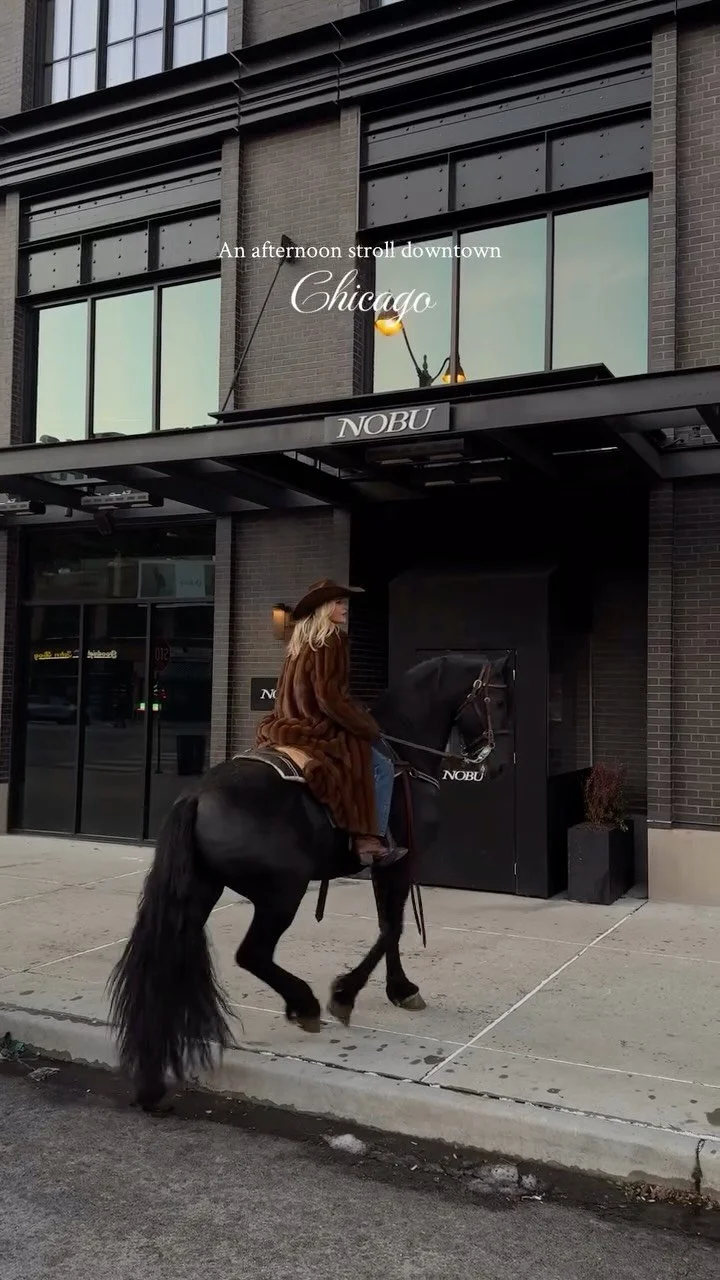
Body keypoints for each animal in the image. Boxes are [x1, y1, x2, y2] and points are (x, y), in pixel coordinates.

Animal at [108, 652, 512, 1111]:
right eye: (499, 701)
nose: (499, 764)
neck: (405, 752)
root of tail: (196, 796)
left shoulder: (385, 867)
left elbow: (387, 926)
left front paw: (399, 989)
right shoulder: (398, 864)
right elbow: (392, 928)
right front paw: (347, 995)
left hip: (201, 891)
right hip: (283, 892)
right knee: (253, 953)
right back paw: (304, 1004)